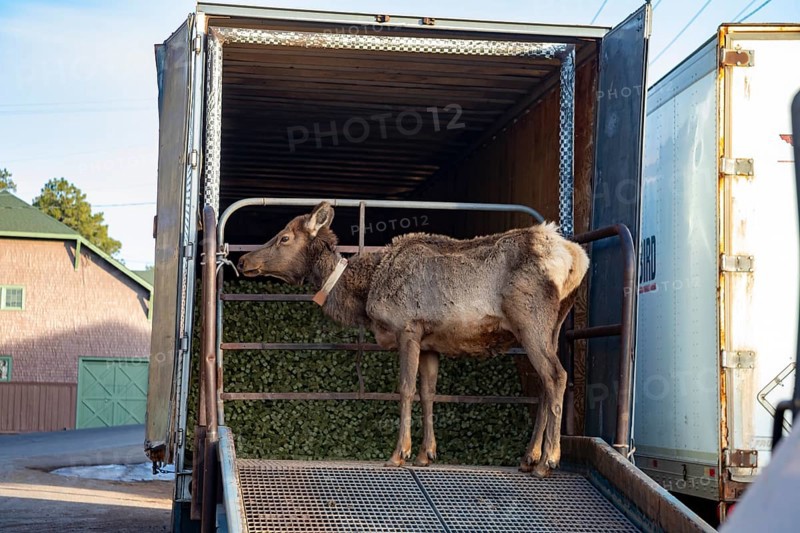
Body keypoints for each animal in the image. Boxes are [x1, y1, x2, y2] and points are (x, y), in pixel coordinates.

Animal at [237, 202, 589, 477]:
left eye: (284, 237)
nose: (243, 260)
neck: (365, 293)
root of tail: (577, 258)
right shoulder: (431, 343)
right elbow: (427, 392)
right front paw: (425, 454)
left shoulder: (407, 327)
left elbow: (405, 389)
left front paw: (398, 454)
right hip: (552, 327)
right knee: (545, 384)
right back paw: (528, 457)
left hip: (530, 320)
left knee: (557, 376)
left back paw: (547, 460)